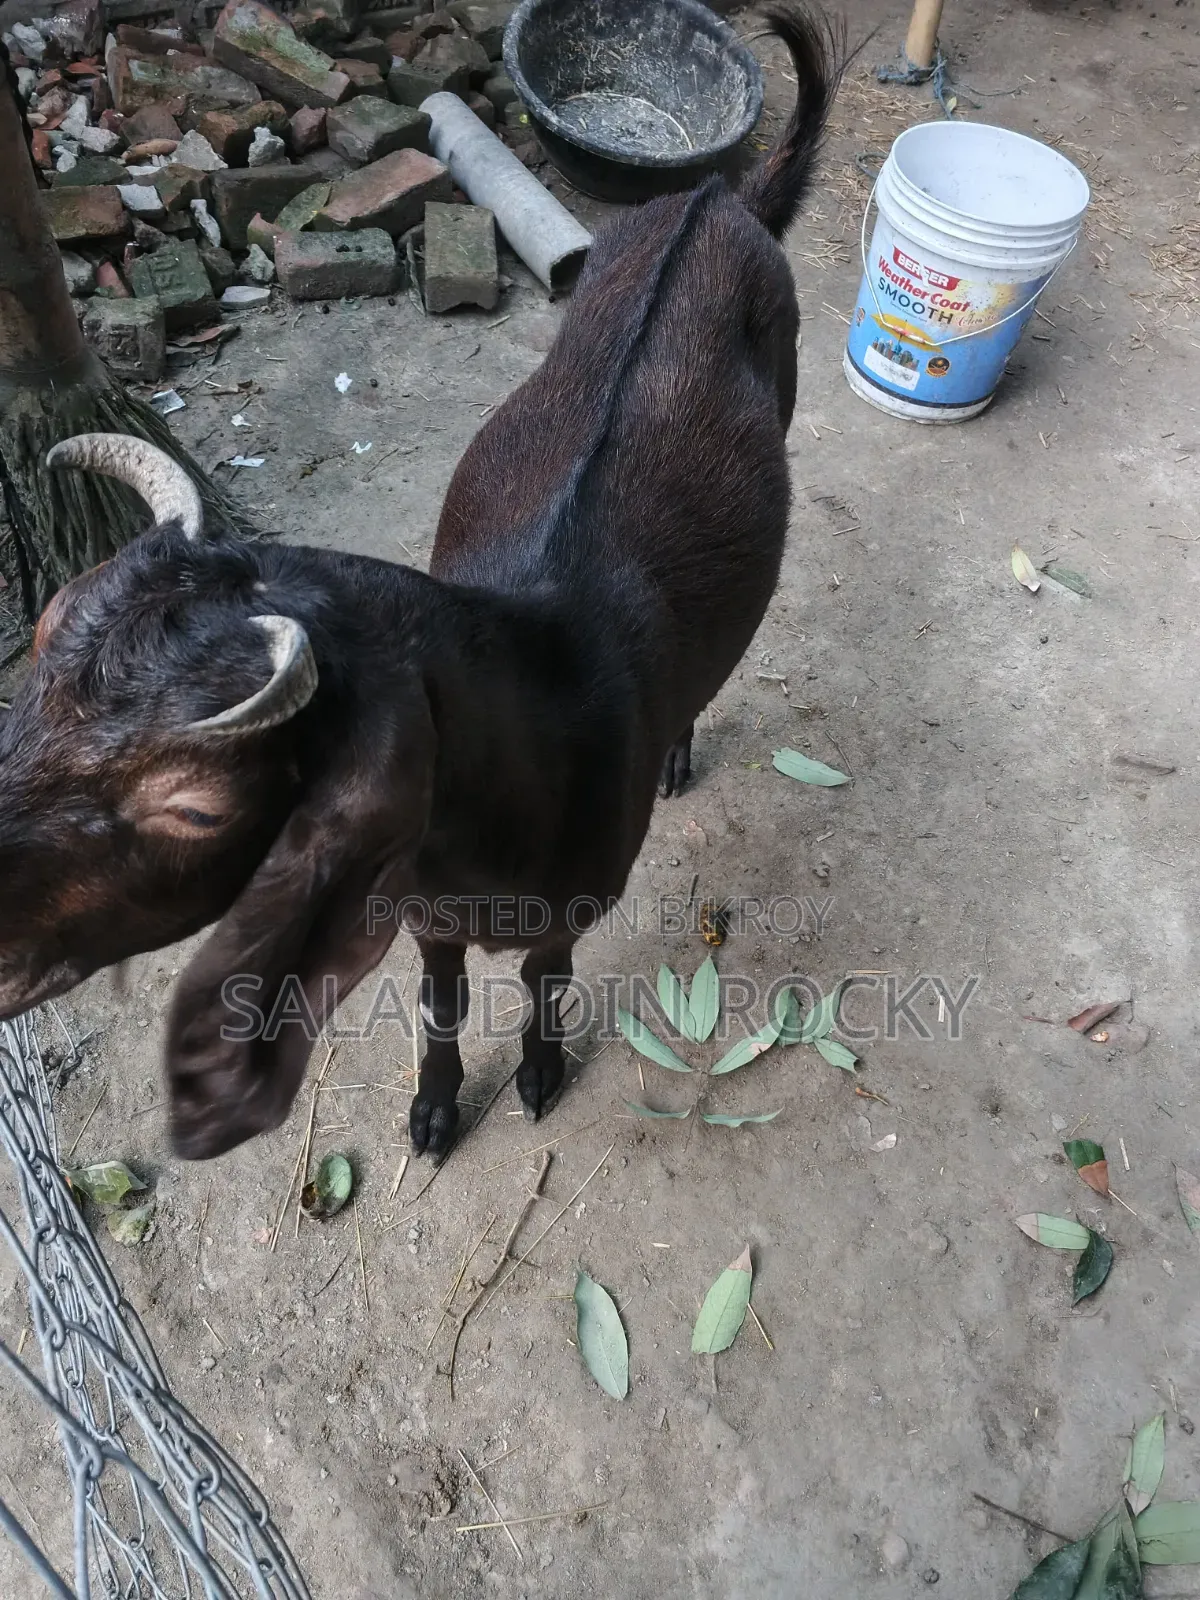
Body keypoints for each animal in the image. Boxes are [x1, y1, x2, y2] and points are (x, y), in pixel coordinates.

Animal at [0, 5, 844, 1161]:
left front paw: (538, 1074)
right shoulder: (423, 908)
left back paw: (678, 754)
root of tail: (723, 199)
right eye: (40, 639)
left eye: (196, 807)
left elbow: (543, 984)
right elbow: (442, 999)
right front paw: (436, 1107)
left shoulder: (569, 904)